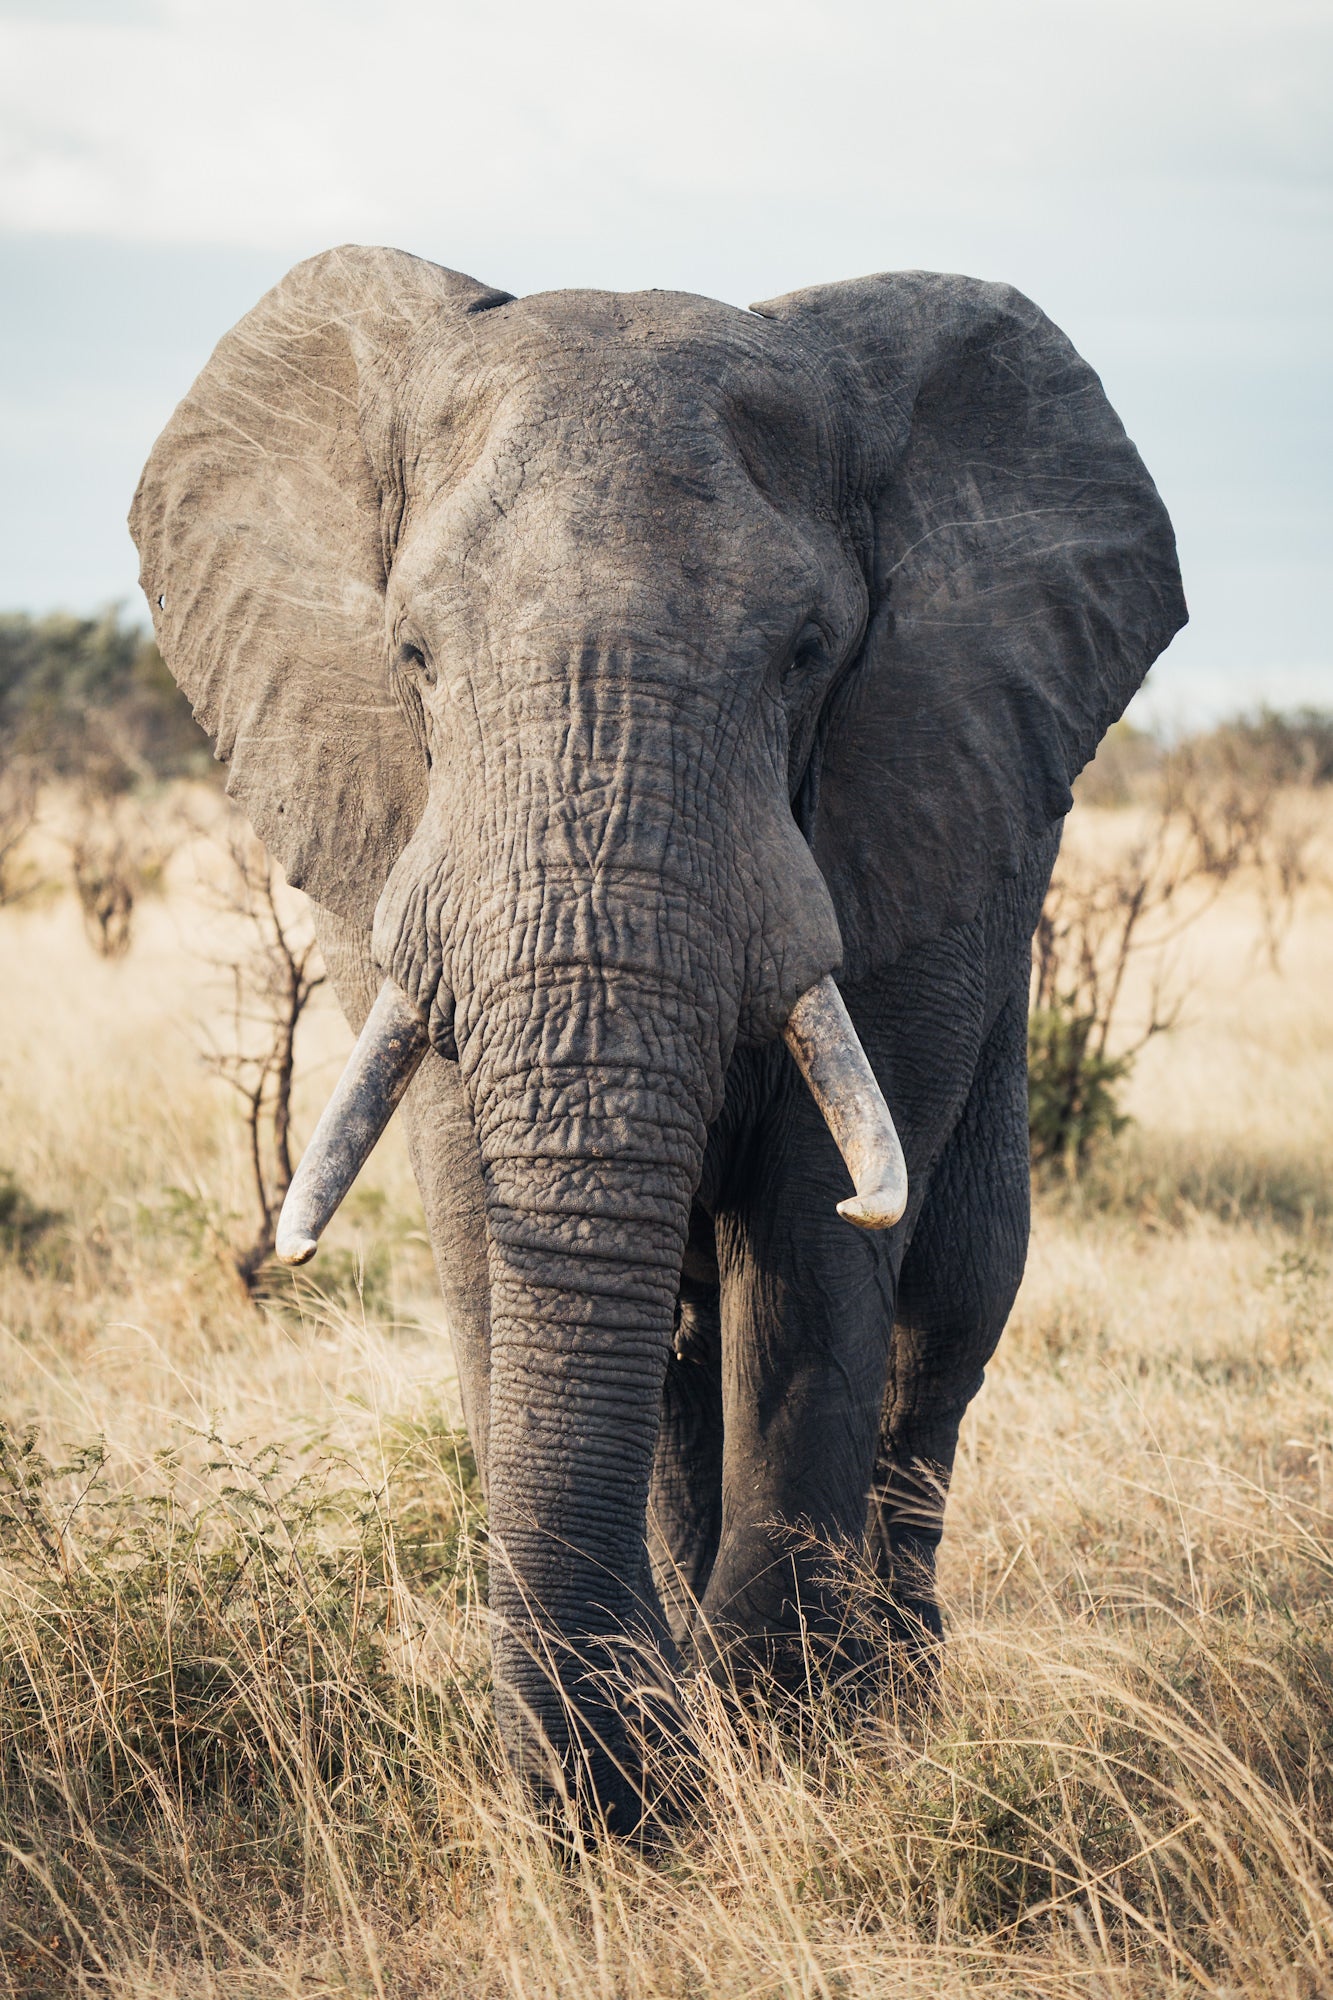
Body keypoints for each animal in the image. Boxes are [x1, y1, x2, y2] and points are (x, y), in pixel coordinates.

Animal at [130, 246, 1185, 1832]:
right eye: (412, 654)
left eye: (809, 653)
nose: (638, 1790)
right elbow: (480, 1214)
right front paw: (666, 1763)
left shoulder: (908, 808)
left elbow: (817, 1237)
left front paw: (789, 1741)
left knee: (948, 1298)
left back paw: (891, 1691)